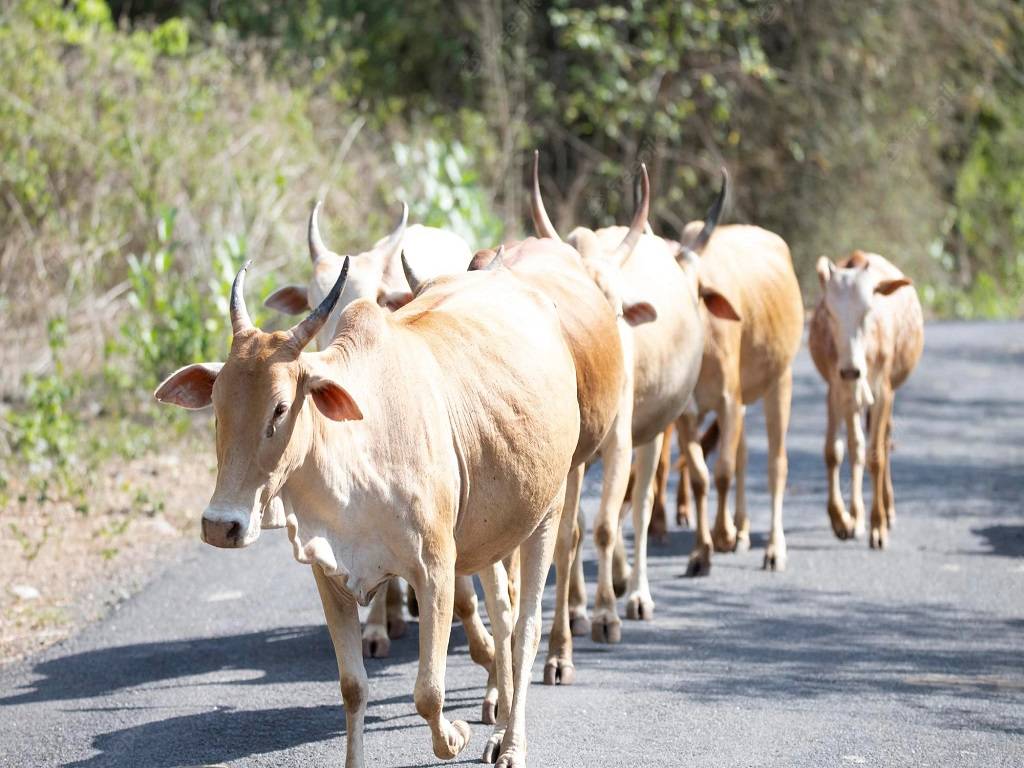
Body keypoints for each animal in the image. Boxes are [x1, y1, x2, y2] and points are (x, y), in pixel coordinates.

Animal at [153, 249, 585, 765]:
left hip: (548, 509)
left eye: (280, 408)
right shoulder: (331, 577)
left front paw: (455, 736)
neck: (357, 452)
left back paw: (511, 743)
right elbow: (353, 687)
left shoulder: (436, 569)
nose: (221, 525)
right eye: (217, 405)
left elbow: (429, 692)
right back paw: (496, 720)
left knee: (526, 627)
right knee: (502, 617)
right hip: (493, 534)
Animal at [528, 153, 737, 651]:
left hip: (654, 433)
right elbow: (576, 529)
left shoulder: (620, 443)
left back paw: (637, 592)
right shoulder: (576, 457)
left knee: (641, 508)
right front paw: (578, 610)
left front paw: (606, 613)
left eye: (616, 307)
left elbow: (606, 525)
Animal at [811, 250, 925, 548]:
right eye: (829, 312)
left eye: (867, 310)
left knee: (883, 441)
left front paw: (878, 526)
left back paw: (887, 510)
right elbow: (837, 451)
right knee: (857, 446)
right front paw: (843, 519)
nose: (851, 370)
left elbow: (876, 456)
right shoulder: (837, 388)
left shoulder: (883, 390)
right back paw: (856, 516)